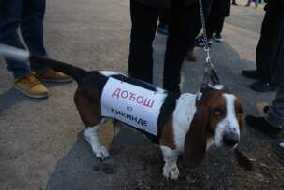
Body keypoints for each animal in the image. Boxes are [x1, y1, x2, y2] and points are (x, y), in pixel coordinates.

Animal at [0, 45, 244, 180]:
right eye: (217, 111)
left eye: (240, 113)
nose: (232, 140)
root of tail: (87, 74)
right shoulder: (167, 144)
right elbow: (170, 158)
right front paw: (172, 170)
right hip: (96, 117)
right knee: (90, 133)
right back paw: (99, 150)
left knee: (86, 131)